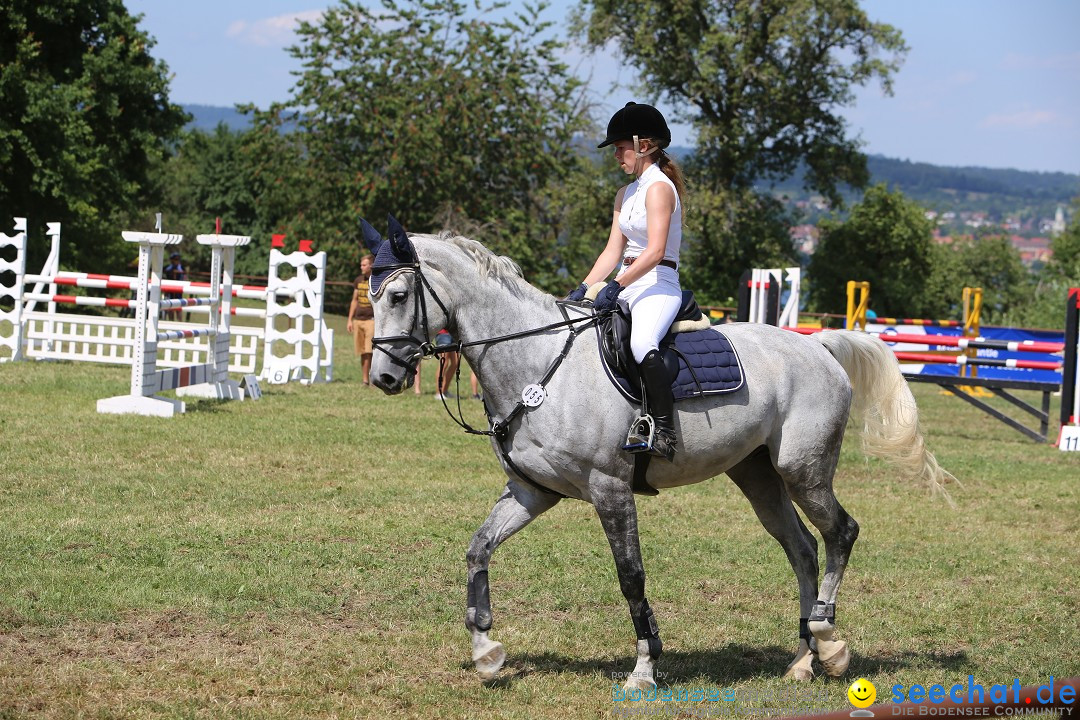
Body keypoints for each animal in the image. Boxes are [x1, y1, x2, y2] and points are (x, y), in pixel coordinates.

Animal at [367, 223, 950, 686]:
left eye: (397, 296)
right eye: (371, 297)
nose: (384, 378)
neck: (536, 360)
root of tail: (818, 345)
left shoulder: (609, 488)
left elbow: (631, 576)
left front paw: (644, 670)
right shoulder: (532, 492)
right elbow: (478, 550)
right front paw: (486, 653)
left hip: (803, 471)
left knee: (840, 533)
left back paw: (829, 639)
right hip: (758, 477)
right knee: (803, 549)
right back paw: (804, 661)